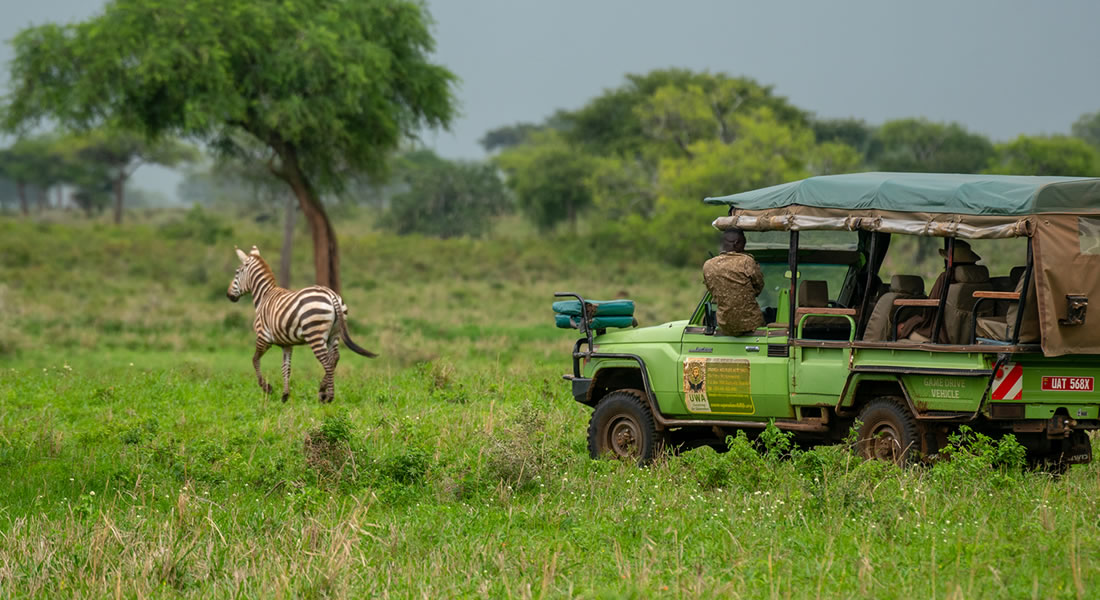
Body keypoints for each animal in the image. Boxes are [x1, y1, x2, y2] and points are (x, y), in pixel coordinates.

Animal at [224, 243, 378, 402]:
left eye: (236, 273)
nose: (228, 295)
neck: (264, 296)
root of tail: (331, 294)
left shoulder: (263, 337)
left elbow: (254, 360)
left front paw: (267, 388)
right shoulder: (286, 344)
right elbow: (285, 367)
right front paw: (285, 395)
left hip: (315, 334)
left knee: (327, 362)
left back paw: (328, 396)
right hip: (335, 334)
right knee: (334, 358)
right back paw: (322, 389)